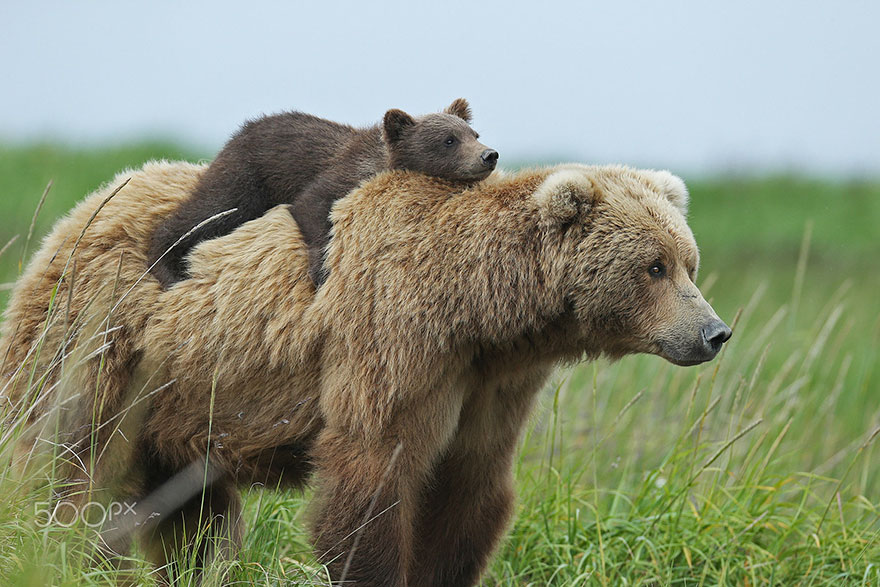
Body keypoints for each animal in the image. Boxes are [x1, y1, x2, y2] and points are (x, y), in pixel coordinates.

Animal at [0, 162, 728, 587]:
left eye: (688, 260)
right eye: (654, 266)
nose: (714, 332)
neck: (477, 311)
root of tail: (83, 206)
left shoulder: (489, 384)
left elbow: (469, 490)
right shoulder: (392, 343)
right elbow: (371, 478)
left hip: (179, 402)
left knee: (191, 513)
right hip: (99, 343)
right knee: (70, 468)